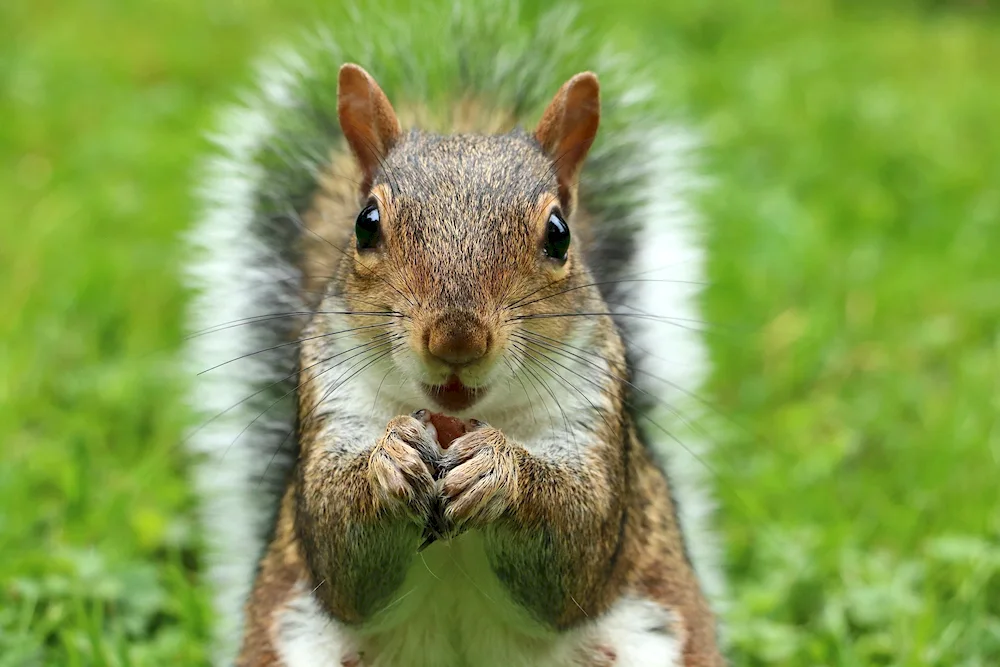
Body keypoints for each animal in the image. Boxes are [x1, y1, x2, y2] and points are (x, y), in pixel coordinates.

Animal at [182, 2, 728, 664]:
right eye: (365, 224)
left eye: (559, 234)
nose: (457, 341)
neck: (461, 419)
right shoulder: (330, 402)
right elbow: (339, 553)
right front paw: (389, 458)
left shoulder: (593, 420)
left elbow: (578, 545)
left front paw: (498, 469)